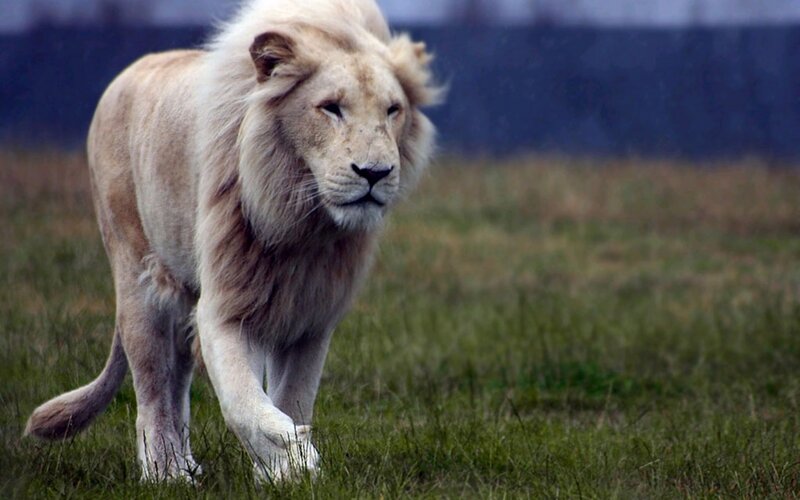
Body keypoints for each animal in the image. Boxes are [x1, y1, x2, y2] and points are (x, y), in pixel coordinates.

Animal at [25, 0, 439, 482]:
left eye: (393, 110)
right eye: (331, 108)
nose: (375, 173)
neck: (302, 220)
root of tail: (127, 74)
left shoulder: (311, 316)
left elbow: (295, 396)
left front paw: (286, 469)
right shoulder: (227, 304)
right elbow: (242, 399)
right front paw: (290, 452)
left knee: (176, 378)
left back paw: (186, 464)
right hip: (137, 276)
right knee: (151, 386)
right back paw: (165, 472)